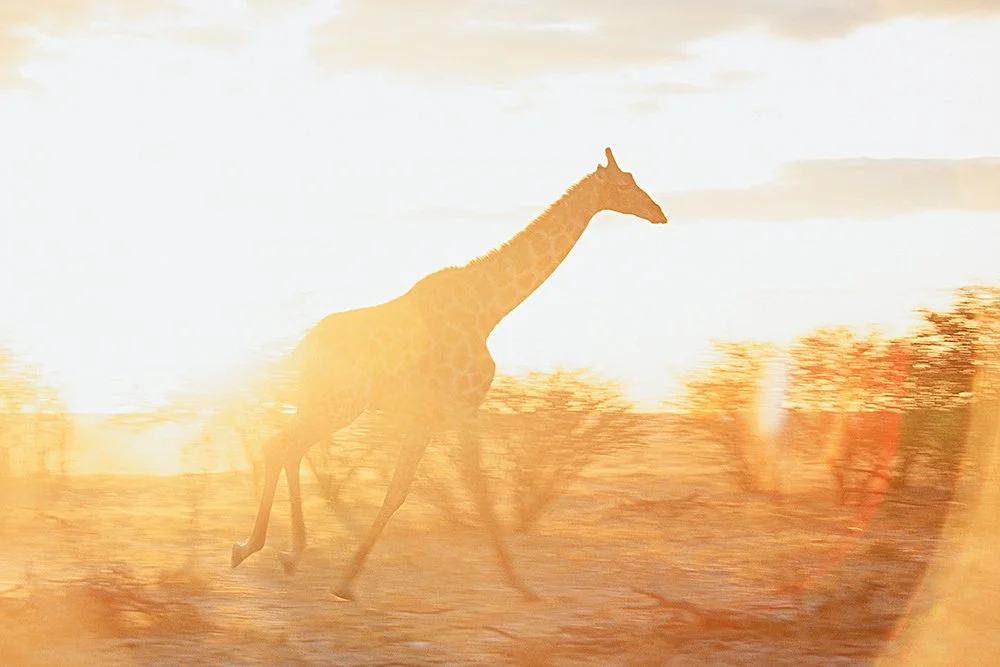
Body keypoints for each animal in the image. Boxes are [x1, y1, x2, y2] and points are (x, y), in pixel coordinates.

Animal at [230, 147, 668, 601]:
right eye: (624, 184)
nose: (660, 213)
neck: (489, 310)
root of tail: (303, 348)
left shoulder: (431, 415)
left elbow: (402, 491)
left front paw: (347, 579)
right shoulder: (460, 409)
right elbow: (474, 492)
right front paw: (522, 584)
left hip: (323, 401)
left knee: (287, 447)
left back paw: (283, 552)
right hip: (340, 403)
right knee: (280, 445)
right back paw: (253, 548)